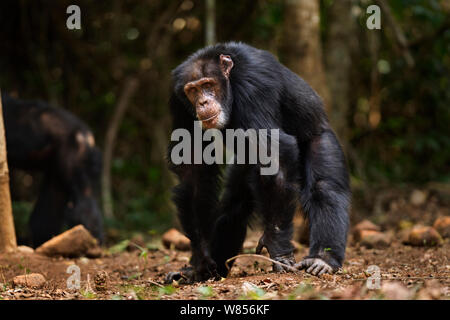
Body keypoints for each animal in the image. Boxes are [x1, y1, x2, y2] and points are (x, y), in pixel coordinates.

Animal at [166, 42, 352, 282]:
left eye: (207, 85)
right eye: (192, 90)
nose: (202, 101)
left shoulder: (254, 82)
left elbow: (274, 155)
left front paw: (277, 246)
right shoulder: (177, 101)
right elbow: (193, 166)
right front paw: (201, 258)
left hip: (321, 136)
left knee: (325, 188)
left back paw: (323, 259)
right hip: (243, 167)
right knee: (233, 206)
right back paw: (208, 270)